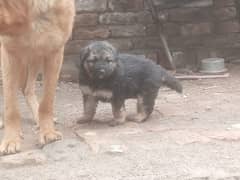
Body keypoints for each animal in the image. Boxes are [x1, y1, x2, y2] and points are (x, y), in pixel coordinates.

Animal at [0, 0, 75, 155]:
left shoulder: (54, 52)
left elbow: (47, 102)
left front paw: (48, 132)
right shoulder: (8, 53)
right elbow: (11, 107)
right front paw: (11, 140)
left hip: (36, 56)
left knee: (27, 89)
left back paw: (37, 118)